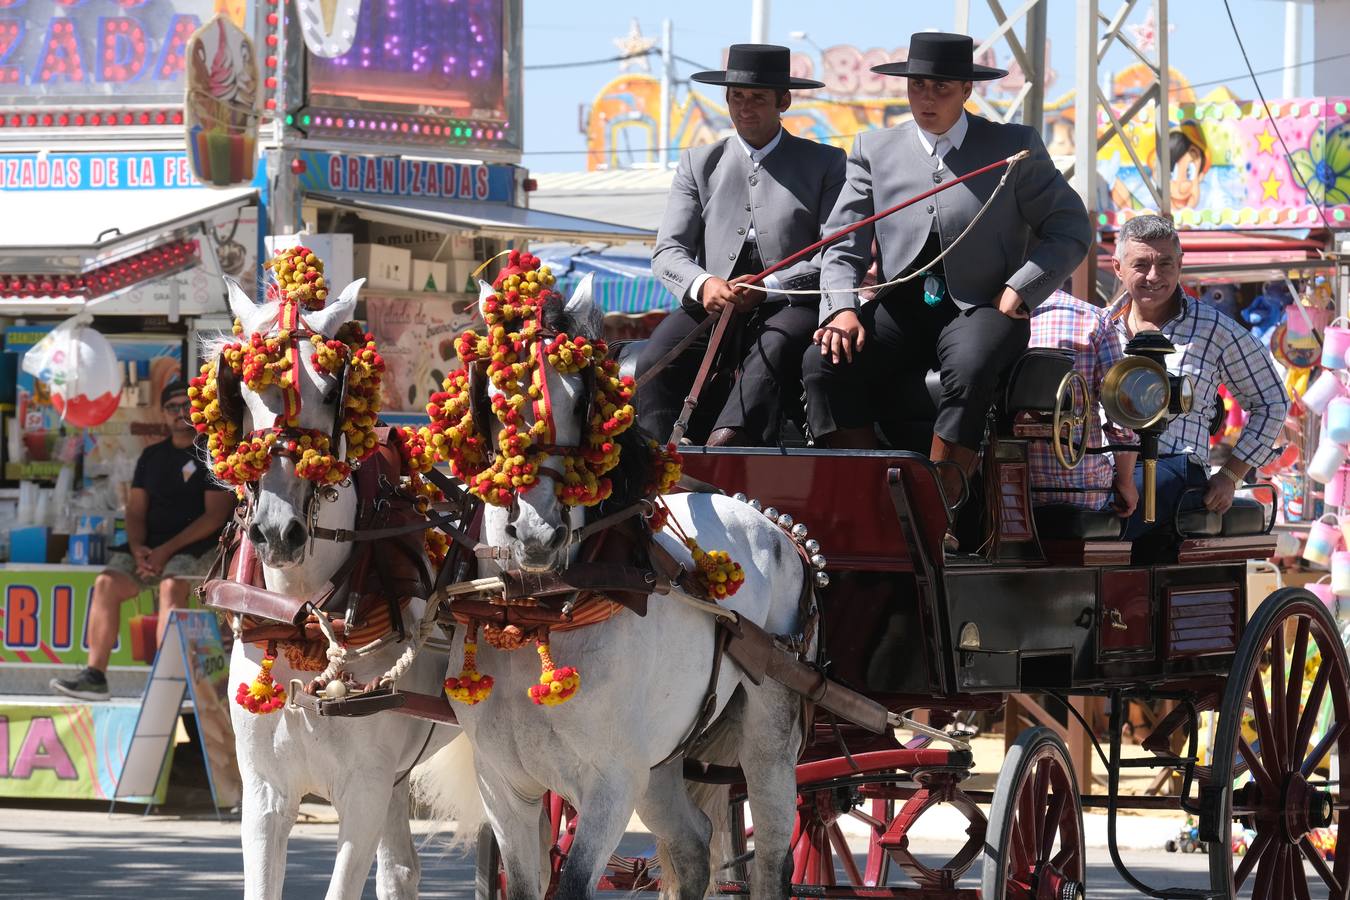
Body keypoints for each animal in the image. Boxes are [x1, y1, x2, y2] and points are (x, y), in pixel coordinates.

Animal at [218, 282, 456, 900]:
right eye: (242, 392)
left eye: (332, 392)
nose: (276, 531)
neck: (303, 615)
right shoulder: (265, 793)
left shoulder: (363, 791)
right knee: (401, 871)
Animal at [426, 277, 804, 900]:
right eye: (493, 399)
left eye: (582, 401)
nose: (538, 534)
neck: (537, 609)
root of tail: (777, 526)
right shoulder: (503, 786)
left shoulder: (610, 784)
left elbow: (574, 883)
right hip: (663, 758)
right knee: (693, 844)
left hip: (769, 729)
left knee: (773, 852)